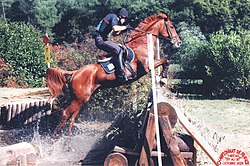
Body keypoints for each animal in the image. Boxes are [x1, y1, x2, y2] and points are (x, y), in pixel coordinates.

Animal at [46, 12, 181, 135]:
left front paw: (162, 78)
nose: (178, 42)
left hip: (81, 99)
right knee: (65, 114)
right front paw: (163, 79)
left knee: (71, 118)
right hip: (79, 99)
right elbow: (166, 60)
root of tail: (75, 72)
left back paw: (68, 138)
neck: (142, 43)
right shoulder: (148, 66)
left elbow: (167, 60)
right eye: (171, 26)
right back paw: (54, 137)